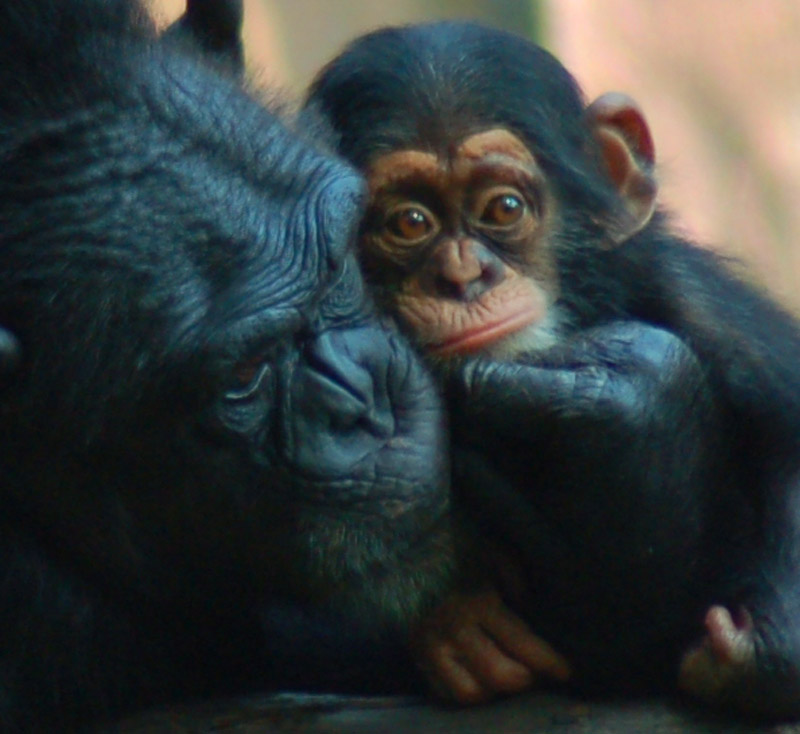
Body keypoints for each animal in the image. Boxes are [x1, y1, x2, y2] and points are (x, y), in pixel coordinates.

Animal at [306, 20, 800, 720]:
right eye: (409, 222)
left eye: (504, 208)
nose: (463, 276)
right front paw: (457, 622)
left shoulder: (703, 306)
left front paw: (765, 649)